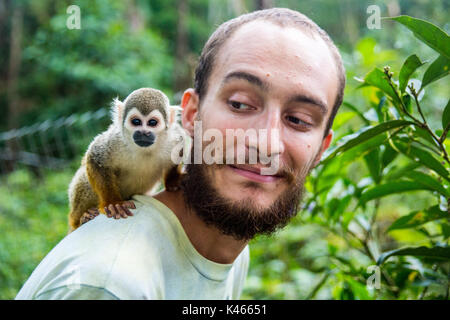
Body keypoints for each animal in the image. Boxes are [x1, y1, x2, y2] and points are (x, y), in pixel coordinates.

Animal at [66, 87, 185, 231]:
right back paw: (80, 219)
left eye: (152, 123)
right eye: (136, 122)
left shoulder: (174, 138)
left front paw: (173, 181)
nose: (143, 133)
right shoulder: (116, 139)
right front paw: (114, 203)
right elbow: (95, 158)